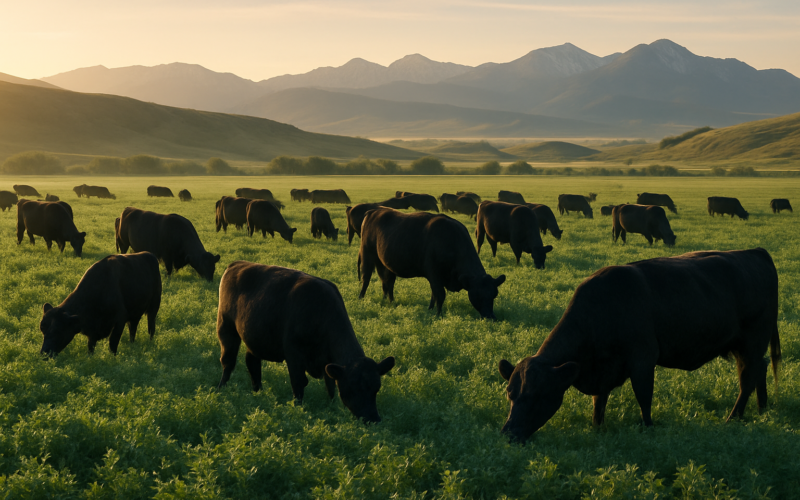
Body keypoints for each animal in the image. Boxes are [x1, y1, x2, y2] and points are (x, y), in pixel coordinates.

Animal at [216, 261, 395, 422]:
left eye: (376, 389)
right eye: (354, 387)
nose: (373, 419)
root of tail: (236, 264)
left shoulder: (327, 362)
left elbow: (330, 386)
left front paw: (332, 406)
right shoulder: (294, 355)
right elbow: (299, 383)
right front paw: (298, 410)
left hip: (255, 339)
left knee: (252, 362)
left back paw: (258, 391)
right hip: (226, 328)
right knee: (228, 362)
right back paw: (221, 389)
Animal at [359, 210, 506, 318]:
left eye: (494, 294)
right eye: (478, 295)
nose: (491, 316)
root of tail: (374, 211)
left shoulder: (435, 277)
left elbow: (433, 294)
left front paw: (430, 310)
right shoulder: (434, 274)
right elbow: (439, 295)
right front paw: (438, 315)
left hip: (386, 264)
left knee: (387, 283)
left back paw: (389, 302)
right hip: (367, 255)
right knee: (366, 278)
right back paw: (361, 298)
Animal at [498, 248, 780, 443]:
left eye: (537, 395)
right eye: (510, 393)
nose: (509, 433)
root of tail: (756, 252)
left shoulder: (643, 359)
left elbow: (644, 396)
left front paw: (648, 428)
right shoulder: (605, 369)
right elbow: (599, 401)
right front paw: (597, 427)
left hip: (752, 342)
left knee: (748, 378)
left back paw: (733, 418)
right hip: (744, 347)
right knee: (761, 369)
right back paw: (762, 409)